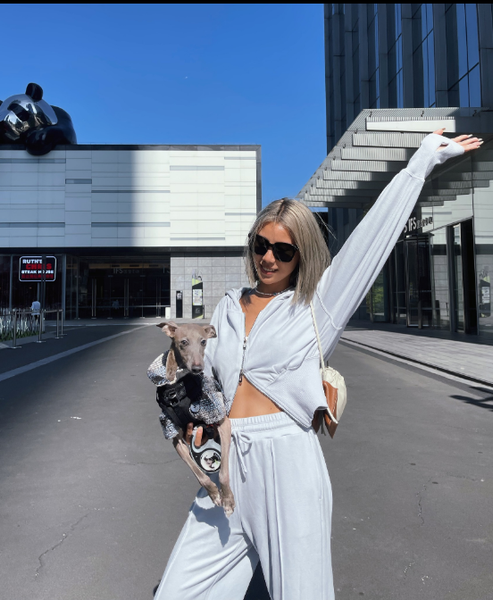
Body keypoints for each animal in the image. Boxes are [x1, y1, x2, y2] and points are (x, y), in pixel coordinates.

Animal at [149, 322, 235, 516]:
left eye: (203, 341)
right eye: (184, 342)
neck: (177, 386)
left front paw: (227, 500)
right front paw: (214, 494)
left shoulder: (223, 422)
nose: (197, 368)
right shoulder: (176, 439)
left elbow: (223, 473)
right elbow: (199, 474)